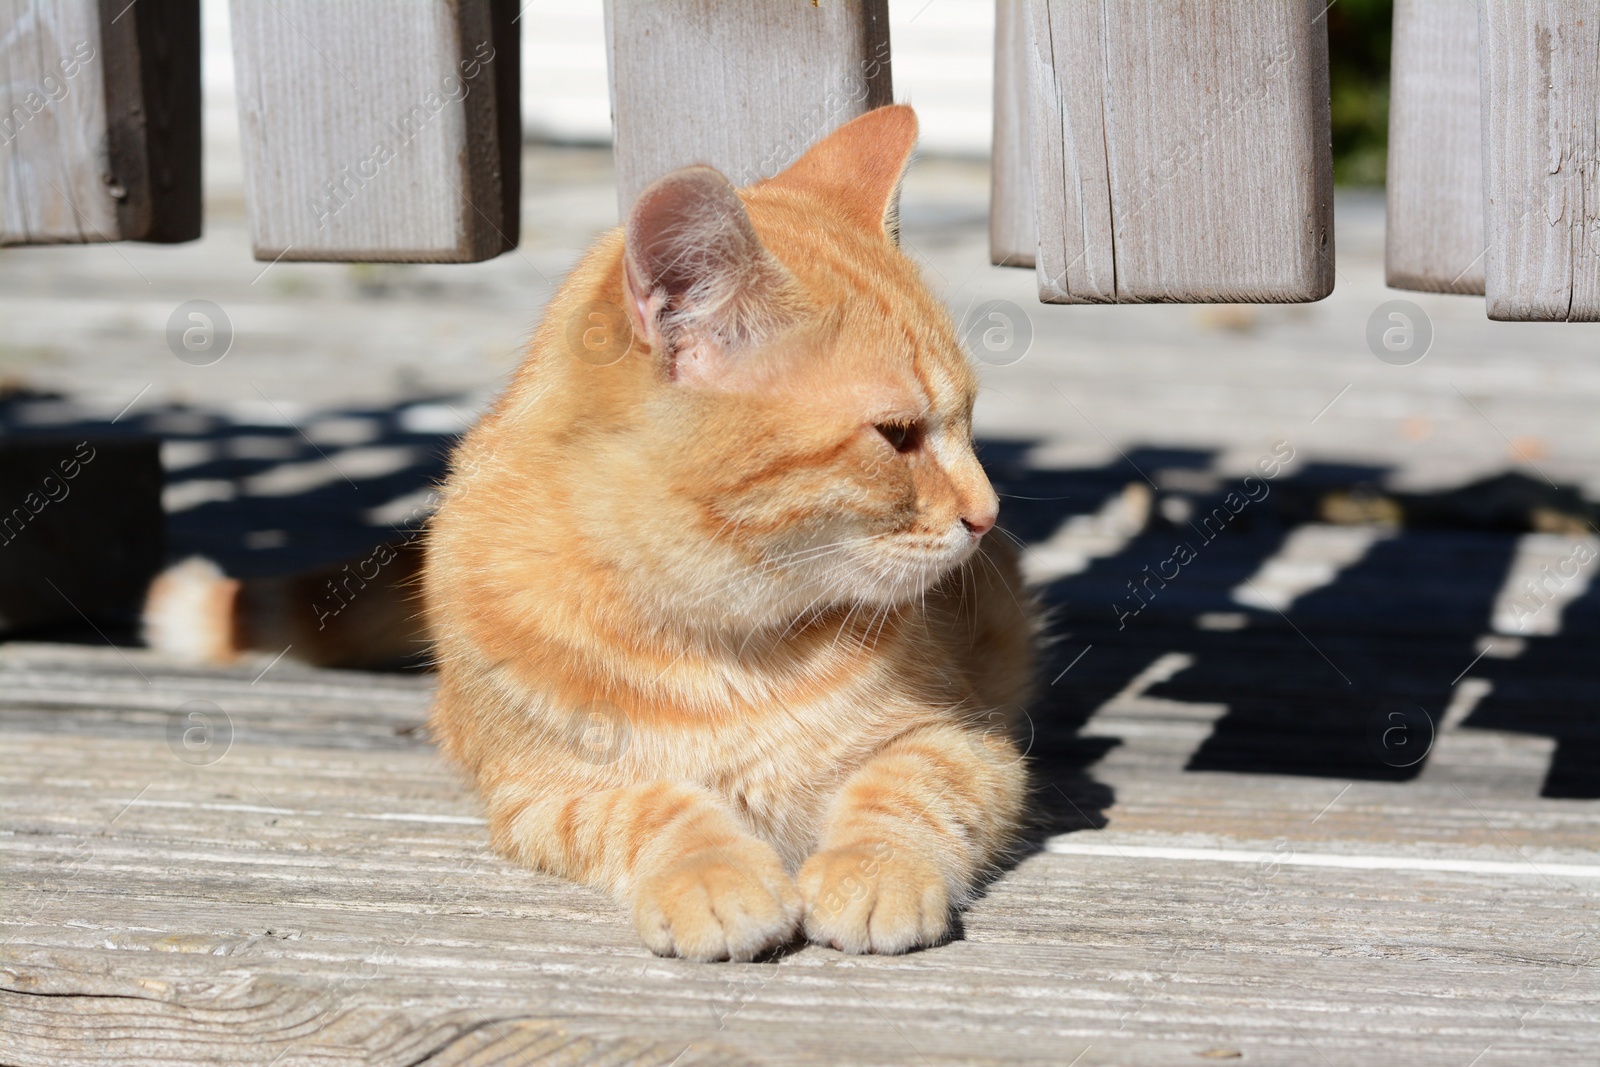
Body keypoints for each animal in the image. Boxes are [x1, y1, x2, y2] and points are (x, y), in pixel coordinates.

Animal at [419, 106, 1030, 959]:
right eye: (898, 435)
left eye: (969, 421)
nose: (988, 512)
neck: (728, 651)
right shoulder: (539, 788)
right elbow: (650, 806)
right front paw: (712, 875)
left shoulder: (968, 741)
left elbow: (904, 787)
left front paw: (872, 872)